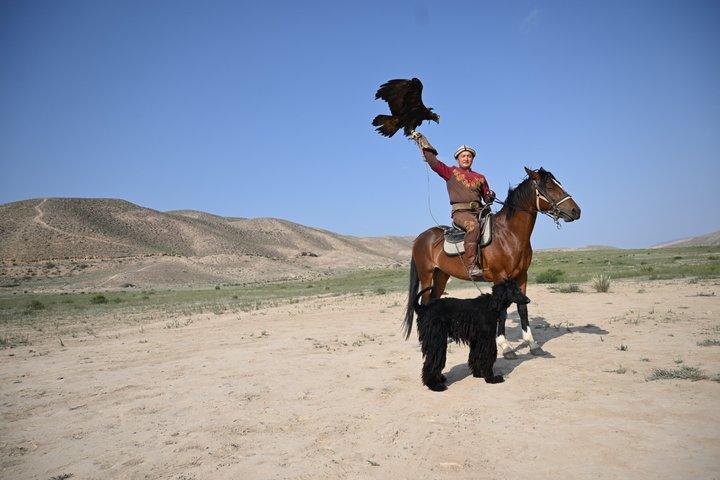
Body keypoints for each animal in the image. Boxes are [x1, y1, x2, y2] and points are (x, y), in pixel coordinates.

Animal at [403, 166, 581, 359]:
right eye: (549, 187)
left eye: (559, 184)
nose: (576, 211)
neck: (508, 235)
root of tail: (420, 238)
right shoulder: (499, 278)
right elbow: (502, 312)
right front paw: (506, 347)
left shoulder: (522, 276)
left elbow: (522, 309)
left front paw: (532, 344)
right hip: (426, 275)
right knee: (425, 301)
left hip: (441, 276)